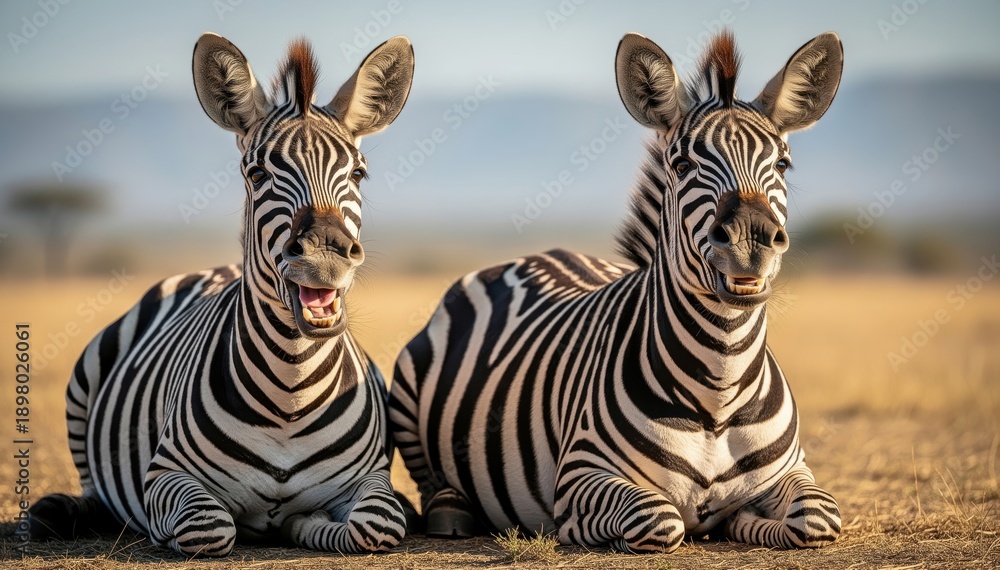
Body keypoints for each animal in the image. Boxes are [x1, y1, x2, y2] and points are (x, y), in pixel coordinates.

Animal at [28, 33, 415, 556]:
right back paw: (63, 511)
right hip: (82, 382)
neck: (291, 394)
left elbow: (377, 521)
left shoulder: (371, 476)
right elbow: (208, 525)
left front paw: (306, 524)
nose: (326, 252)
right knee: (92, 488)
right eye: (257, 175)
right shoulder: (165, 475)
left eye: (358, 174)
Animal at [389, 31, 843, 553]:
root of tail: (532, 256)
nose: (751, 238)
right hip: (404, 390)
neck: (719, 393)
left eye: (783, 164)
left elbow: (818, 515)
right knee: (433, 485)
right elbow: (660, 517)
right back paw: (452, 512)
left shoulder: (793, 470)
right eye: (681, 164)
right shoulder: (581, 474)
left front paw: (743, 520)